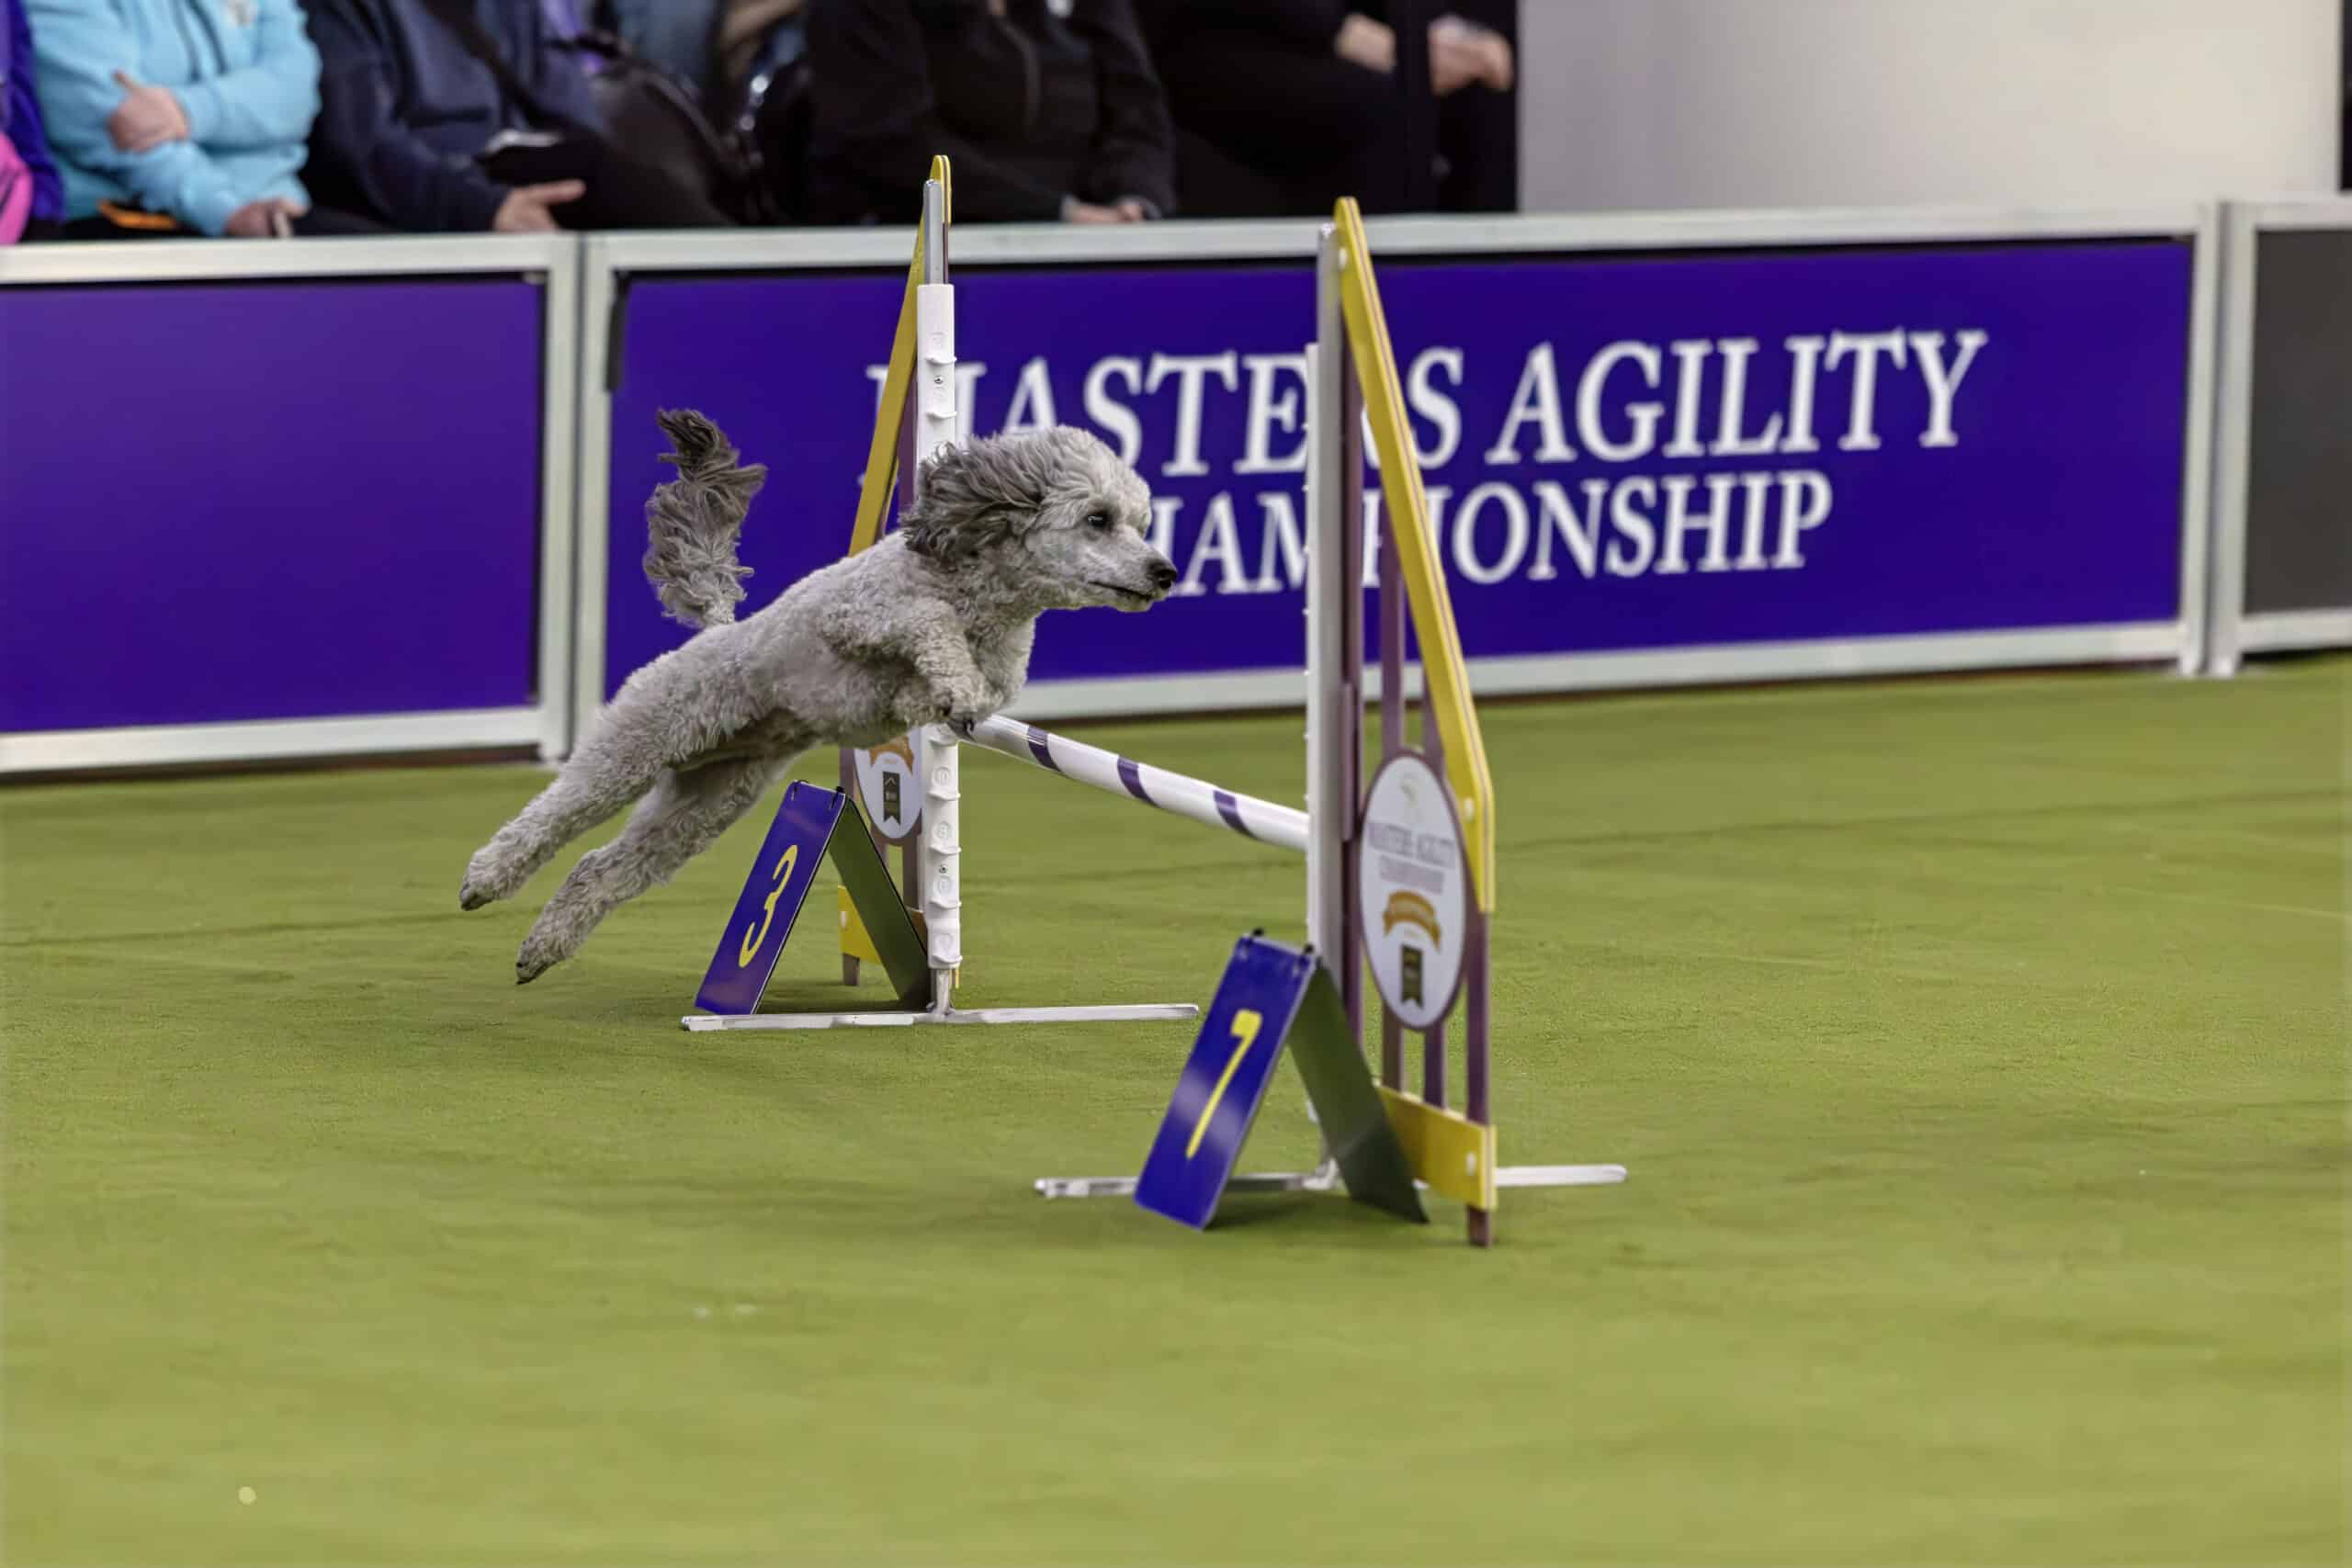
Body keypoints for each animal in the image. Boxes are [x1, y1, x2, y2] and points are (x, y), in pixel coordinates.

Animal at [461, 409, 1177, 982]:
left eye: (1142, 521)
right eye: (1098, 519)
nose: (1165, 571)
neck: (976, 589)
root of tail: (720, 632)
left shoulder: (982, 672)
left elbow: (968, 685)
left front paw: (950, 691)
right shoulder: (863, 613)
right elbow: (928, 621)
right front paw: (953, 674)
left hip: (702, 807)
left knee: (599, 867)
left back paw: (541, 950)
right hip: (633, 746)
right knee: (551, 818)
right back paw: (483, 880)